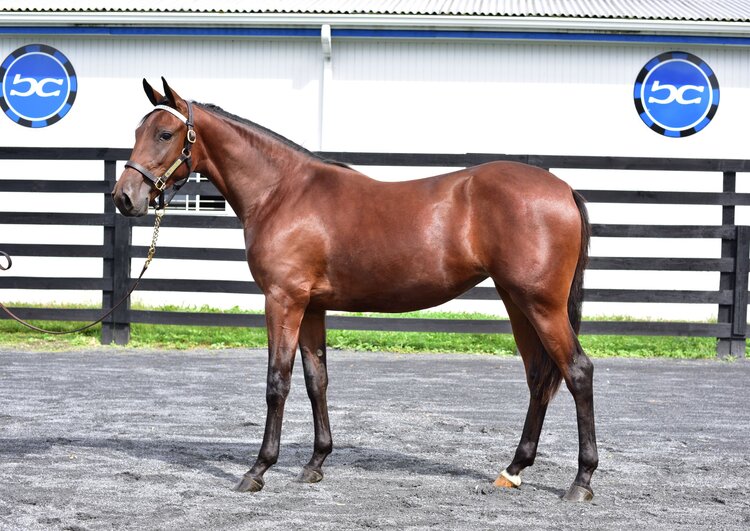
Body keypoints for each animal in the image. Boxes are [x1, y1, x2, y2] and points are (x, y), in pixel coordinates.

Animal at [112, 78, 598, 502]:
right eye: (137, 131)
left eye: (165, 133)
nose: (124, 197)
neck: (282, 191)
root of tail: (562, 188)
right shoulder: (311, 307)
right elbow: (316, 380)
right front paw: (315, 463)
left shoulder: (283, 300)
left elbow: (277, 381)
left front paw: (258, 469)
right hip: (518, 302)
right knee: (538, 377)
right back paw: (513, 470)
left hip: (541, 304)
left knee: (577, 371)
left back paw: (581, 481)